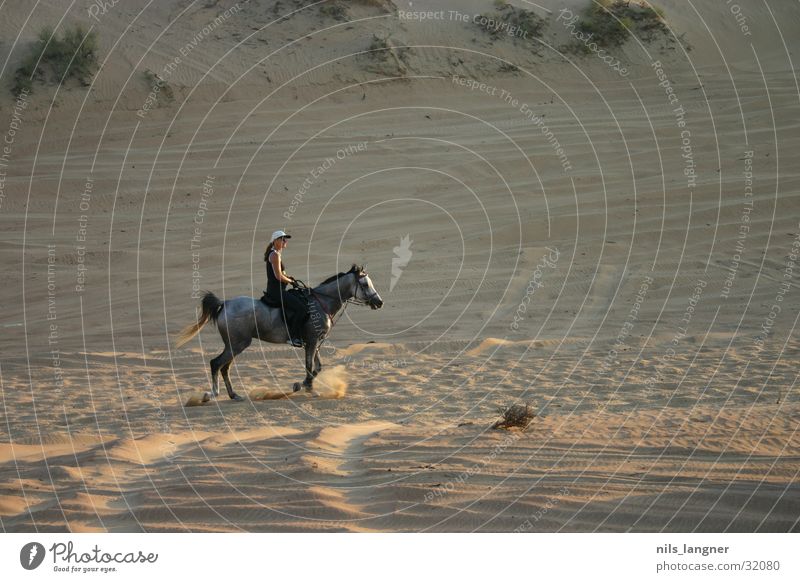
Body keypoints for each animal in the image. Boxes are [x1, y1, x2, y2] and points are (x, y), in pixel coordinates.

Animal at [177, 266, 382, 404]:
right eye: (365, 284)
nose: (379, 302)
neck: (321, 302)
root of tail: (225, 304)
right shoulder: (312, 341)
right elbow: (310, 366)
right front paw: (309, 388)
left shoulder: (315, 342)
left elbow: (317, 367)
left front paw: (301, 385)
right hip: (237, 344)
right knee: (216, 364)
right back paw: (211, 395)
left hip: (234, 345)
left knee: (224, 368)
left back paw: (234, 395)